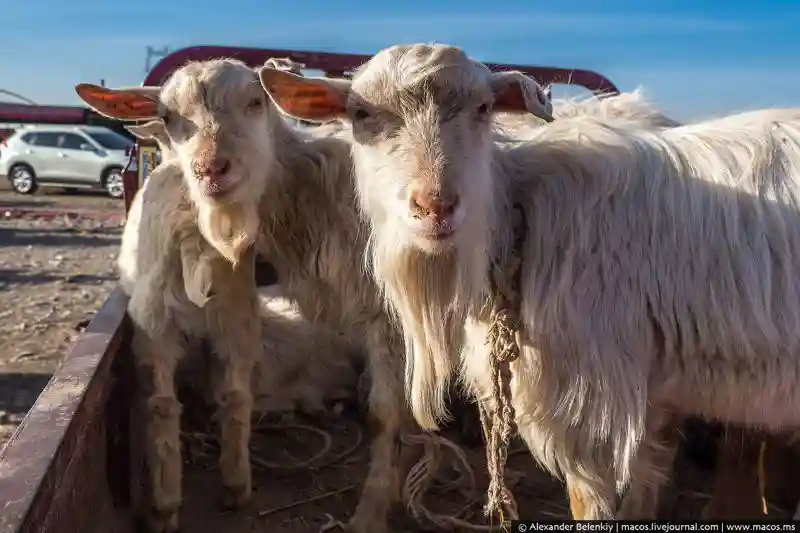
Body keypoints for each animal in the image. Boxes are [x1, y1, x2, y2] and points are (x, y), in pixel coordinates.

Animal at [256, 42, 800, 520]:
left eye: (483, 108)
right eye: (361, 114)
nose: (435, 206)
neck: (519, 212)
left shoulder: (589, 396)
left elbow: (589, 502)